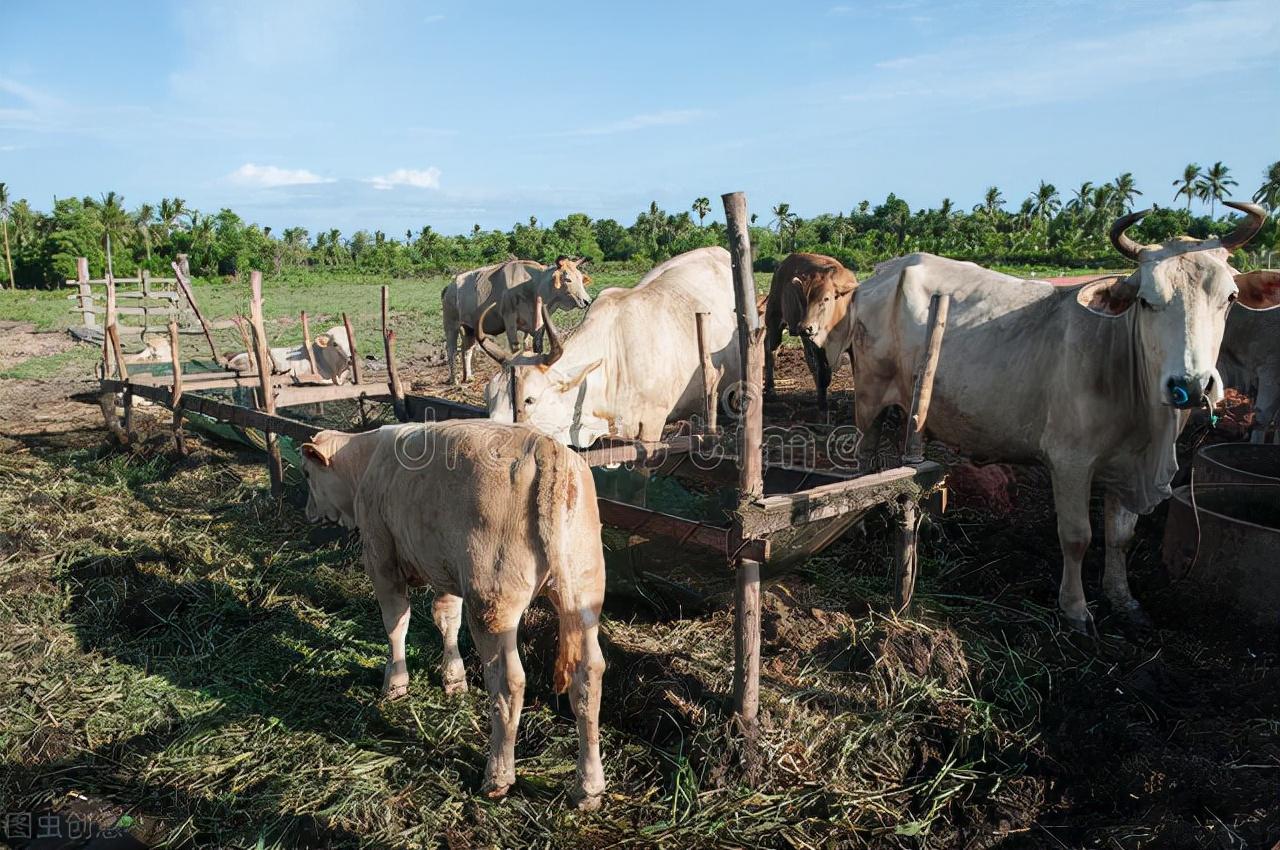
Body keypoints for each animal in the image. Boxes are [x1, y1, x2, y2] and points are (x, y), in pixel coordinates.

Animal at [296, 422, 606, 809]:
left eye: (308, 474)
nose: (308, 511)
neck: (365, 463)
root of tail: (545, 447)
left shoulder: (382, 560)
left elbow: (396, 623)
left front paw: (395, 683)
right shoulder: (446, 569)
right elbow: (446, 619)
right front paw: (454, 678)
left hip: (492, 603)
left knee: (507, 683)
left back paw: (498, 776)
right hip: (583, 594)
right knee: (589, 675)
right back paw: (588, 788)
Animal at [442, 256, 591, 381]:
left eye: (580, 278)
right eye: (568, 279)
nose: (587, 301)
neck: (533, 286)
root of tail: (449, 287)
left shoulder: (538, 326)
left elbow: (535, 347)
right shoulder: (509, 320)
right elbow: (515, 348)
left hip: (470, 328)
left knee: (467, 350)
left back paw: (468, 377)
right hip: (451, 325)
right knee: (451, 350)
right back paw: (454, 380)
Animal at [757, 252, 860, 412]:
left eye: (826, 298)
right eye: (803, 300)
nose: (805, 327)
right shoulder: (818, 344)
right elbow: (823, 373)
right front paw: (823, 405)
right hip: (774, 319)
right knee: (770, 350)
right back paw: (770, 389)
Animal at [849, 204, 1269, 629]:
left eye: (1230, 298)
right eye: (1146, 301)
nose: (1191, 384)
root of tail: (884, 271)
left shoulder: (1127, 466)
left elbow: (1120, 537)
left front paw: (1123, 598)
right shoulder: (1070, 461)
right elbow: (1077, 535)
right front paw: (1075, 608)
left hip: (914, 405)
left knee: (913, 464)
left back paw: (927, 523)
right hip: (869, 397)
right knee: (865, 460)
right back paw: (863, 524)